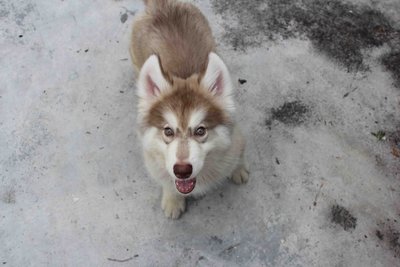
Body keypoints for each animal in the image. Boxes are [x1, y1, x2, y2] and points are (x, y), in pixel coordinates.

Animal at [131, 0, 248, 220]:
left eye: (200, 130)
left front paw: (238, 169)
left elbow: (238, 156)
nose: (182, 170)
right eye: (168, 131)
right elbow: (167, 183)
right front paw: (172, 199)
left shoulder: (237, 138)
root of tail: (161, 5)